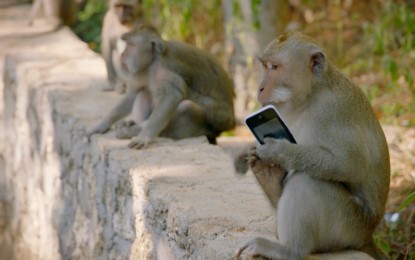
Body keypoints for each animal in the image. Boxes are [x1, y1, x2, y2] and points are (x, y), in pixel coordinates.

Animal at [88, 25, 236, 149]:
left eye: (130, 45)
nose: (122, 54)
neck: (152, 62)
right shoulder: (141, 71)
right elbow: (133, 93)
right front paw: (103, 124)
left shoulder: (164, 72)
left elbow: (171, 97)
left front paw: (144, 136)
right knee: (144, 91)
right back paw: (133, 123)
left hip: (211, 125)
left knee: (188, 107)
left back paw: (134, 130)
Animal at [236, 31, 392, 258]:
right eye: (265, 66)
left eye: (274, 67)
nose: (260, 88)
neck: (312, 94)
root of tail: (368, 236)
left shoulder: (333, 109)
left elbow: (351, 165)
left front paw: (279, 151)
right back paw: (270, 181)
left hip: (349, 226)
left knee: (307, 180)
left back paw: (290, 250)